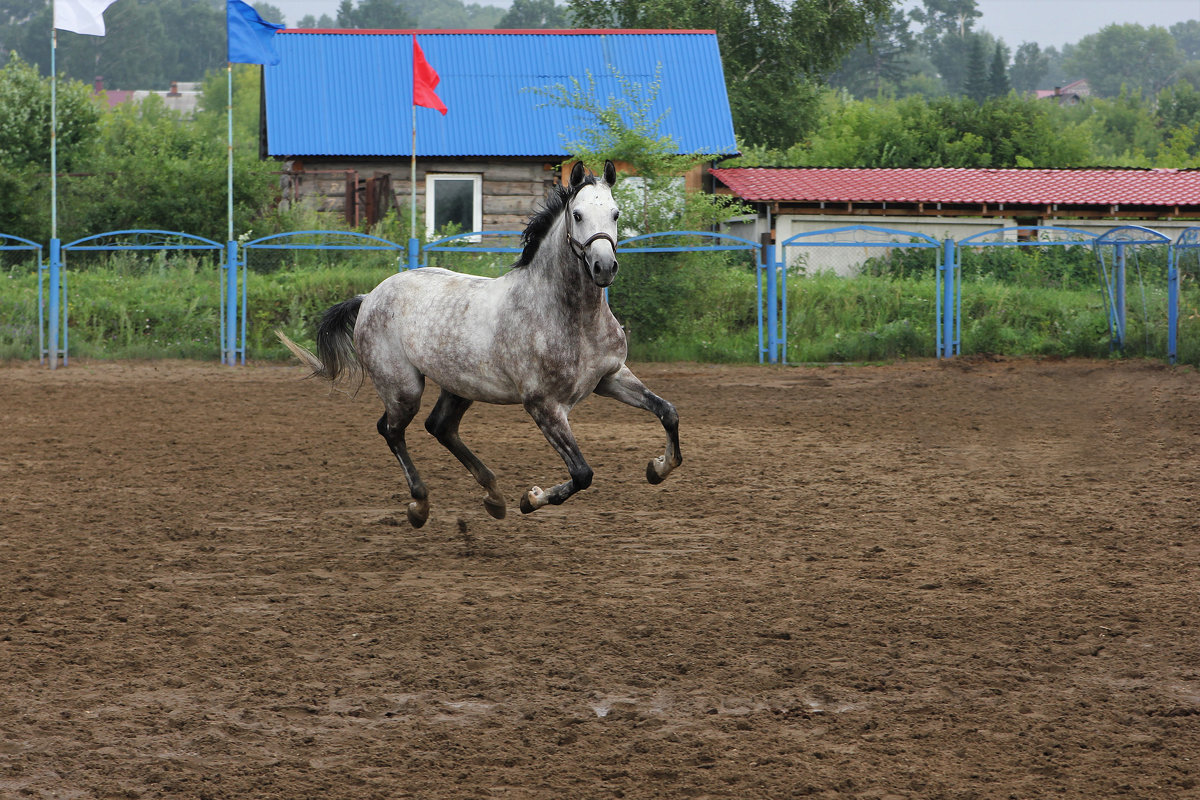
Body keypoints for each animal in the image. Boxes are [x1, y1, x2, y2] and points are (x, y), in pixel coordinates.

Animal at [276, 159, 681, 527]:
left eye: (615, 214)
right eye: (578, 215)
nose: (604, 267)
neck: (571, 318)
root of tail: (369, 297)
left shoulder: (610, 378)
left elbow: (668, 412)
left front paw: (657, 467)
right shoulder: (544, 406)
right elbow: (582, 473)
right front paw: (531, 498)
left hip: (460, 386)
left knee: (439, 427)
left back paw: (493, 496)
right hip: (403, 388)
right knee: (391, 430)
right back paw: (420, 505)